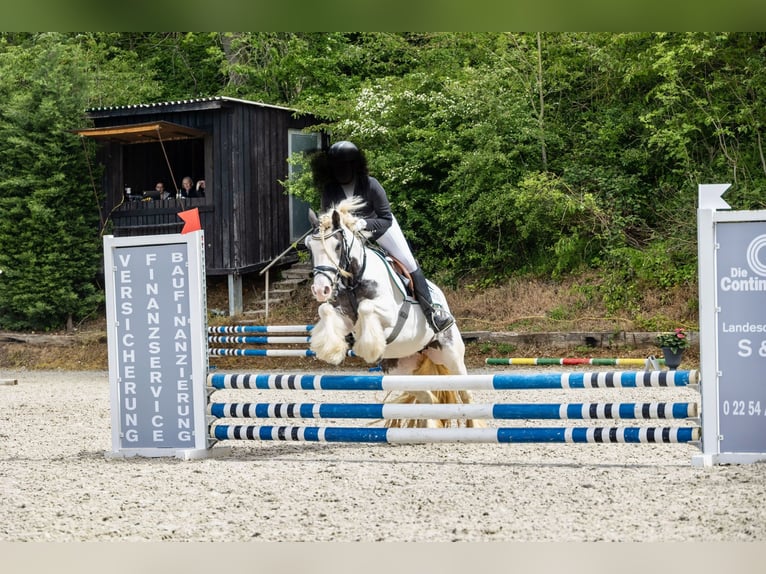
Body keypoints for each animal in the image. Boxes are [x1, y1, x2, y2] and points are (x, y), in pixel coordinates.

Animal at [304, 198, 476, 428]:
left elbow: (366, 307)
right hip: (401, 371)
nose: (320, 290)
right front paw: (331, 349)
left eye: (337, 246)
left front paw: (368, 346)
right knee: (429, 399)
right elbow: (325, 310)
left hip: (451, 355)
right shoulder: (344, 315)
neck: (354, 280)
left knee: (466, 394)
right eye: (309, 247)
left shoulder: (391, 315)